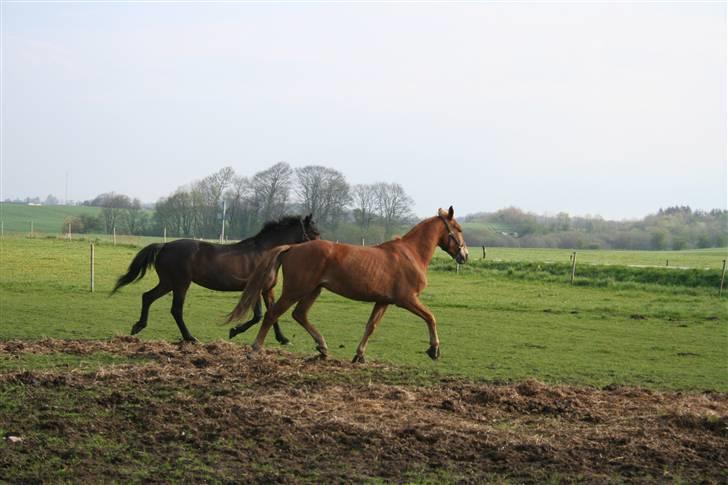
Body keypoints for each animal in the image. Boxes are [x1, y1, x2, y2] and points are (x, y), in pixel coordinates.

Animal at [110, 214, 318, 342]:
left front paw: (283, 339)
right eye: (314, 233)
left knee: (147, 297)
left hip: (168, 283)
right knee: (176, 310)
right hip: (180, 283)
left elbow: (272, 313)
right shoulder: (255, 288)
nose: (320, 250)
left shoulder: (268, 290)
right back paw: (190, 338)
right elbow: (258, 315)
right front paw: (234, 331)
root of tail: (164, 245)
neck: (266, 253)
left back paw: (138, 326)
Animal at [226, 206, 466, 362]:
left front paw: (359, 355)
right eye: (458, 229)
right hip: (296, 290)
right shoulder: (407, 299)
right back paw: (255, 348)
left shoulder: (383, 301)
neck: (410, 254)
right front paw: (434, 350)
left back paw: (322, 347)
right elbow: (431, 317)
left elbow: (371, 326)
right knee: (272, 314)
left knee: (299, 315)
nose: (464, 256)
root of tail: (292, 247)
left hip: (313, 290)